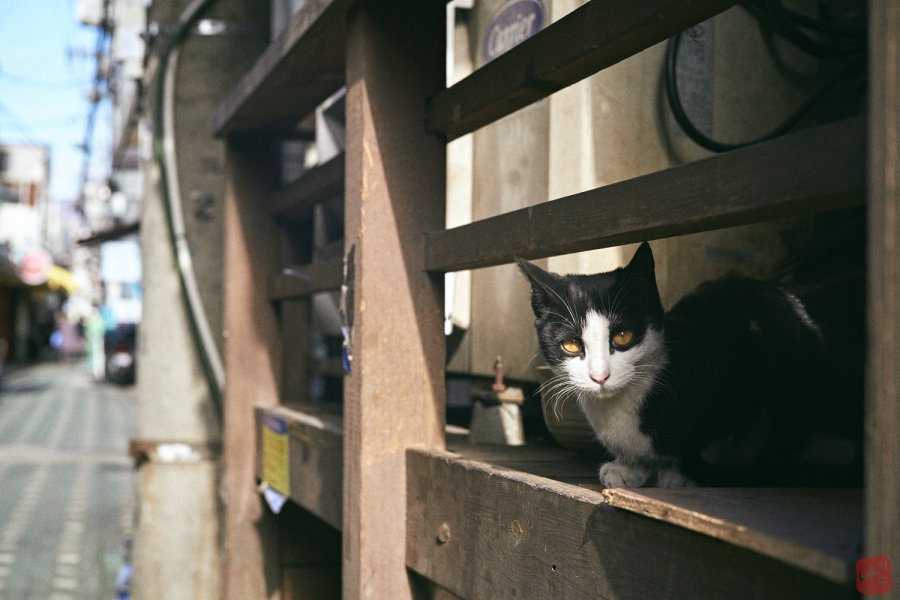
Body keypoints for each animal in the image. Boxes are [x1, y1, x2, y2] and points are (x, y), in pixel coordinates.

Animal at [516, 243, 848, 488]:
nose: (600, 376)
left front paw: (679, 474)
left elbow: (707, 442)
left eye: (623, 337)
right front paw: (629, 469)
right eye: (572, 345)